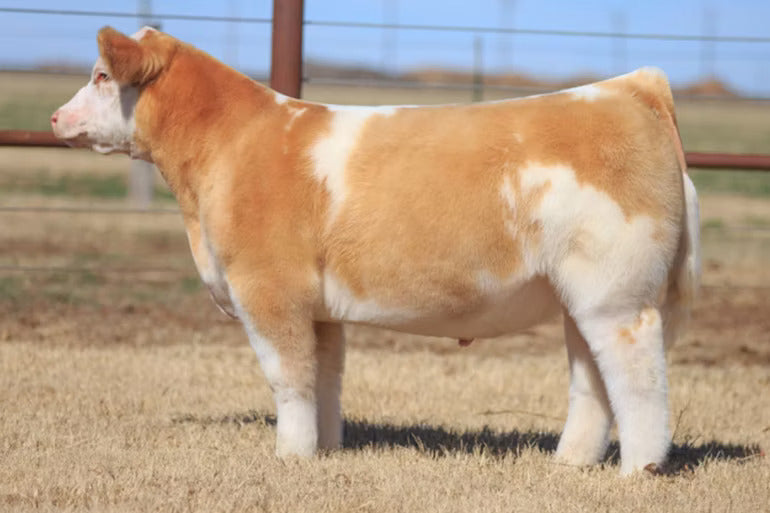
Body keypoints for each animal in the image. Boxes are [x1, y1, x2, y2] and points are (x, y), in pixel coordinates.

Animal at [51, 26, 700, 475]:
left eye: (102, 75)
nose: (56, 117)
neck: (233, 146)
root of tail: (629, 88)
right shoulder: (318, 309)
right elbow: (325, 377)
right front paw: (323, 448)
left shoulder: (268, 290)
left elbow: (288, 377)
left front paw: (289, 456)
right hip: (578, 297)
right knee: (591, 378)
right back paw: (571, 462)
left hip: (617, 295)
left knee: (636, 374)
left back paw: (639, 469)